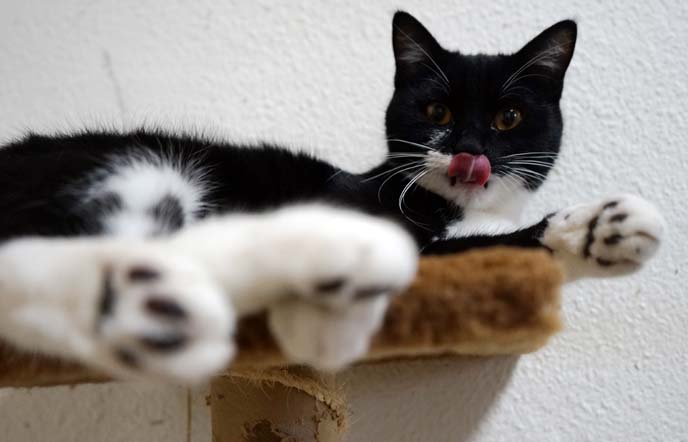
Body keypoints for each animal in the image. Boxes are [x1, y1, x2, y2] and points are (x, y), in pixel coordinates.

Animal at [0, 11, 664, 384]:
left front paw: (597, 232)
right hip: (141, 173)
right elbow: (480, 248)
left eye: (508, 118)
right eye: (437, 112)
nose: (468, 150)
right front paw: (601, 223)